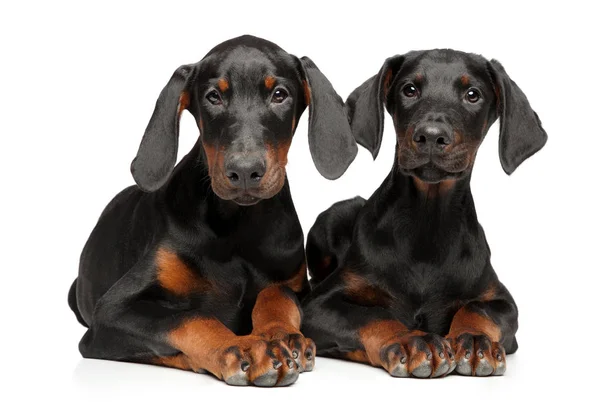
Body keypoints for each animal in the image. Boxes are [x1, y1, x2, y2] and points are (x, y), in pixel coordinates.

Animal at [67, 35, 356, 386]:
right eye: (213, 96)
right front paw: (242, 348)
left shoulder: (299, 285)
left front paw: (282, 335)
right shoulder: (112, 310)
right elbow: (190, 316)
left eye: (279, 94)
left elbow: (277, 295)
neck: (236, 224)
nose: (244, 171)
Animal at [302, 48, 548, 376]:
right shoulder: (317, 306)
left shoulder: (502, 301)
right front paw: (410, 340)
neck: (427, 224)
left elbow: (477, 308)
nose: (431, 136)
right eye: (409, 89)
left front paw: (474, 340)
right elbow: (372, 315)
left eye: (473, 94)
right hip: (331, 219)